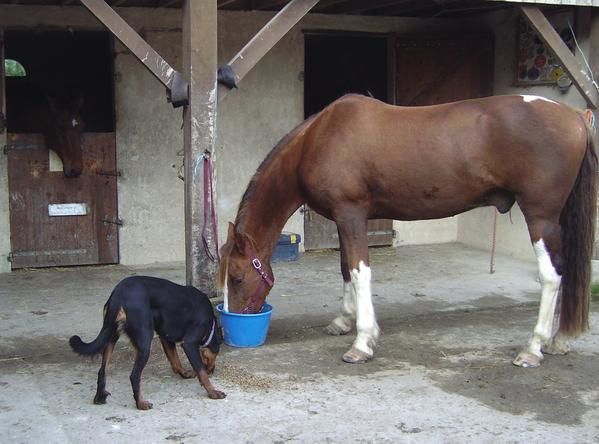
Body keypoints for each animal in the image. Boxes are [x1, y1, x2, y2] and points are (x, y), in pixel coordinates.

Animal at [69, 276, 225, 412]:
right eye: (217, 353)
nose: (213, 369)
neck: (211, 325)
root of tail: (119, 294)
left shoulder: (166, 337)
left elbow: (175, 360)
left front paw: (185, 373)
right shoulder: (189, 343)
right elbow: (201, 371)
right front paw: (212, 392)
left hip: (111, 335)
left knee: (102, 370)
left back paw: (99, 397)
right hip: (144, 342)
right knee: (134, 376)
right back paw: (140, 403)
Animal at [218, 93, 596, 368]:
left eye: (237, 276)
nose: (230, 325)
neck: (320, 138)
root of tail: (575, 115)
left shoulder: (351, 214)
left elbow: (360, 272)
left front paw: (362, 341)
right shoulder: (343, 219)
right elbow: (344, 268)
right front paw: (343, 321)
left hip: (540, 217)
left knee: (551, 276)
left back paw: (533, 347)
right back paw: (558, 341)